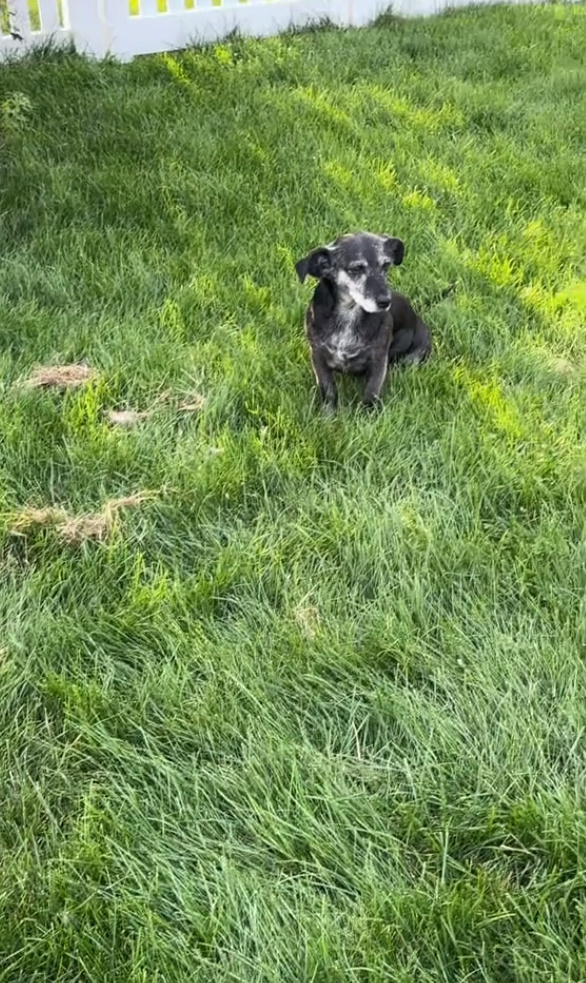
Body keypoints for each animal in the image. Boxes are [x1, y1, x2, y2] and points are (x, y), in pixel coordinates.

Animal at [296, 234, 428, 412]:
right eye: (356, 269)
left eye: (386, 265)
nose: (385, 301)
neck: (348, 314)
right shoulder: (317, 356)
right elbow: (329, 390)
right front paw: (328, 415)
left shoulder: (379, 361)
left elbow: (371, 392)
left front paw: (368, 415)